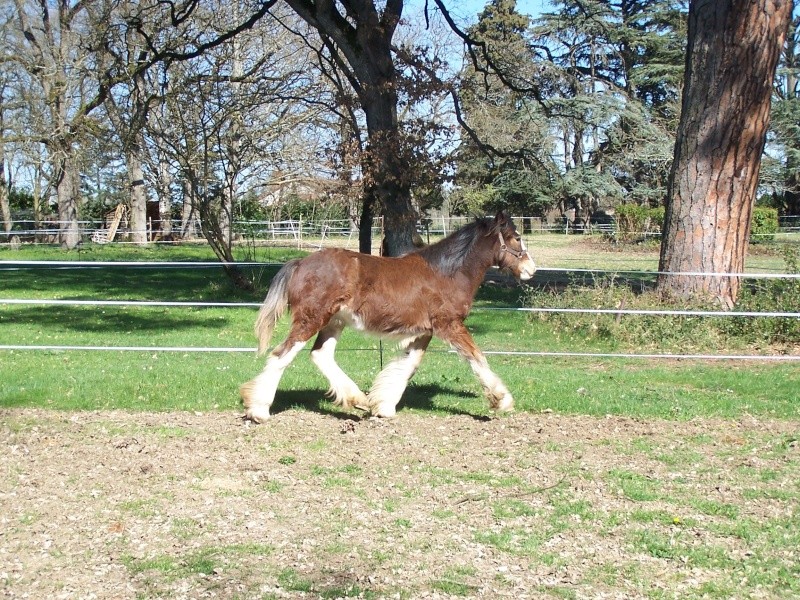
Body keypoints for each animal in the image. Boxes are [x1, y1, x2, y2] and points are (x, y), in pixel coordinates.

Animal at [241, 211, 536, 422]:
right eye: (516, 237)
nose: (531, 269)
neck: (446, 273)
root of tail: (300, 263)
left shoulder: (424, 331)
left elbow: (409, 365)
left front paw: (383, 406)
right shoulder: (449, 325)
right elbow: (477, 358)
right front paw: (502, 400)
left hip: (334, 322)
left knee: (320, 354)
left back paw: (359, 400)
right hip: (311, 319)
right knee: (282, 355)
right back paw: (259, 411)